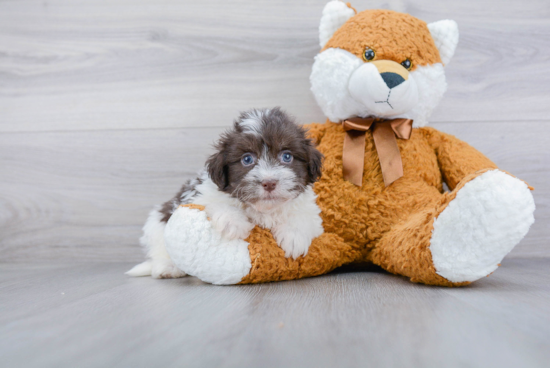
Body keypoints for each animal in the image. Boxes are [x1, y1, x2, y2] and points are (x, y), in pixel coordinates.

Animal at [128, 108, 328, 278]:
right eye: (247, 159)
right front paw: (233, 222)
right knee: (160, 248)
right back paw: (168, 267)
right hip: (157, 224)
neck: (264, 210)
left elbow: (303, 216)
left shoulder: (310, 211)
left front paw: (294, 237)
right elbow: (216, 202)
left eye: (287, 156)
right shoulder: (200, 194)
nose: (269, 182)